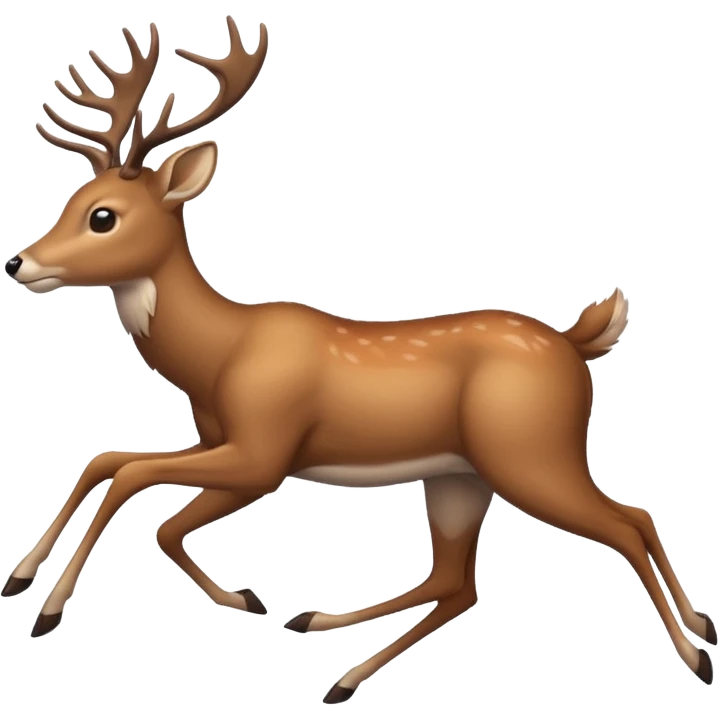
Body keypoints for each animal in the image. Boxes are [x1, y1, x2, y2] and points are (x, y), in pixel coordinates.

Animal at [2, 16, 716, 704]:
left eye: (102, 217)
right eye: (69, 200)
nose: (18, 263)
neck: (219, 354)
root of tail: (575, 343)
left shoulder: (264, 452)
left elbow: (141, 492)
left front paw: (54, 608)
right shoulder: (216, 438)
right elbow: (111, 464)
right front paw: (23, 580)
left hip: (531, 453)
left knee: (629, 521)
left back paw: (697, 649)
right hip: (460, 475)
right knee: (458, 581)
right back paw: (332, 653)